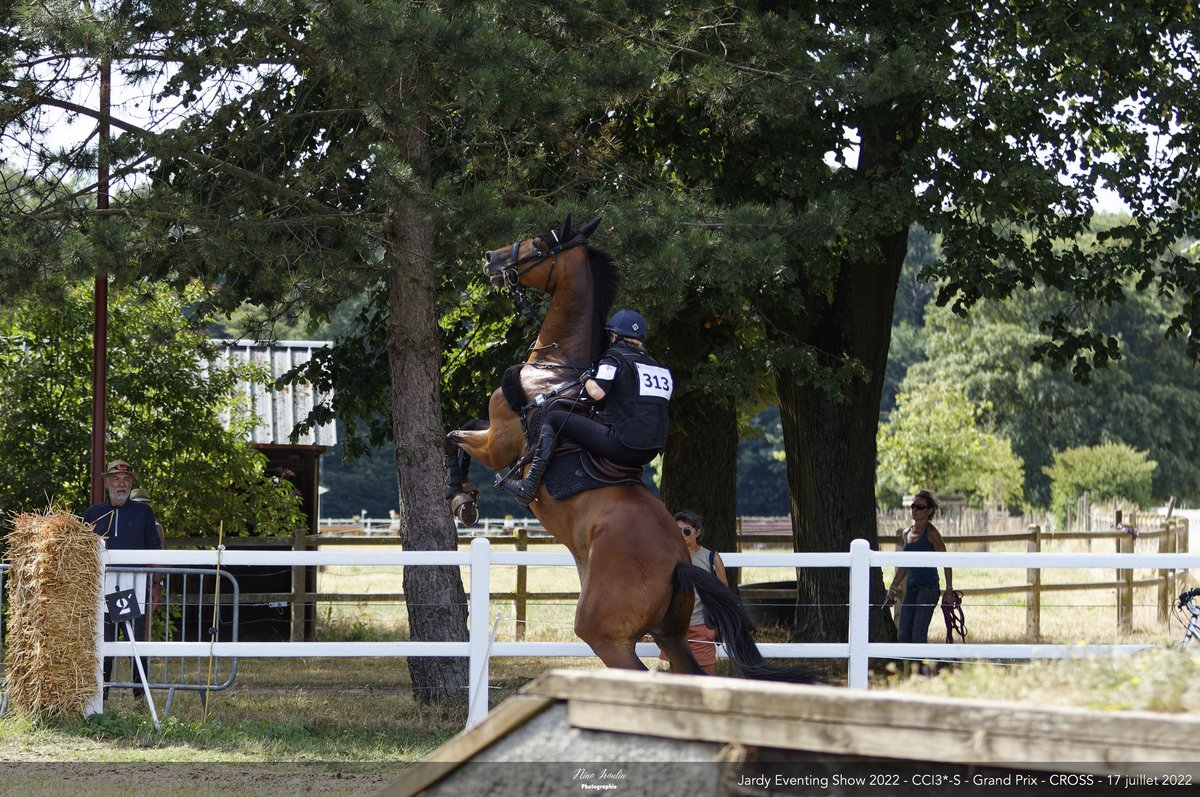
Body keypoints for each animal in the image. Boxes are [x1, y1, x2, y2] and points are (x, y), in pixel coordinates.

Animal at [446, 216, 814, 680]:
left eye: (540, 242)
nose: (491, 260)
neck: (555, 369)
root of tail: (680, 563)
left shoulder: (500, 444)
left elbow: (454, 436)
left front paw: (460, 496)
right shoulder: (496, 433)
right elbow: (463, 429)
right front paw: (464, 498)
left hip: (606, 632)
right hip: (671, 634)